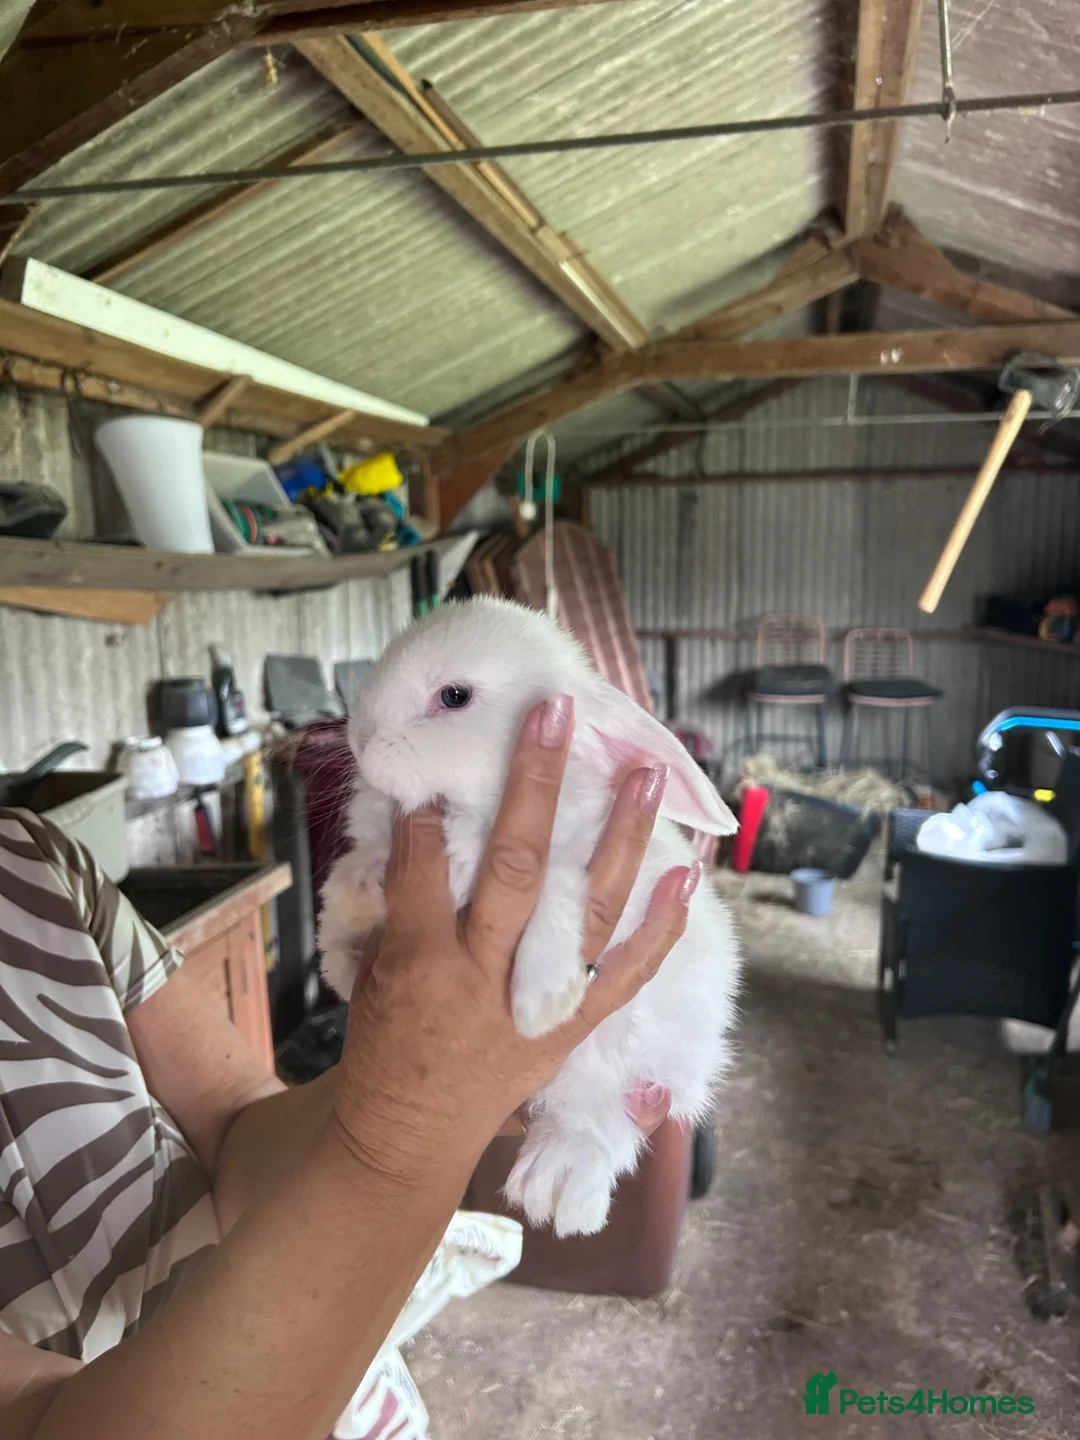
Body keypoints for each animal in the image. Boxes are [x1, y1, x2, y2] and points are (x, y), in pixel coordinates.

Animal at [319, 596, 741, 1237]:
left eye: (455, 696)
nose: (360, 737)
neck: (479, 804)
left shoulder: (583, 866)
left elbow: (556, 895)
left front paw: (542, 1002)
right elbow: (355, 880)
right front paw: (353, 911)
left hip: (644, 1047)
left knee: (598, 1115)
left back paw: (558, 1187)